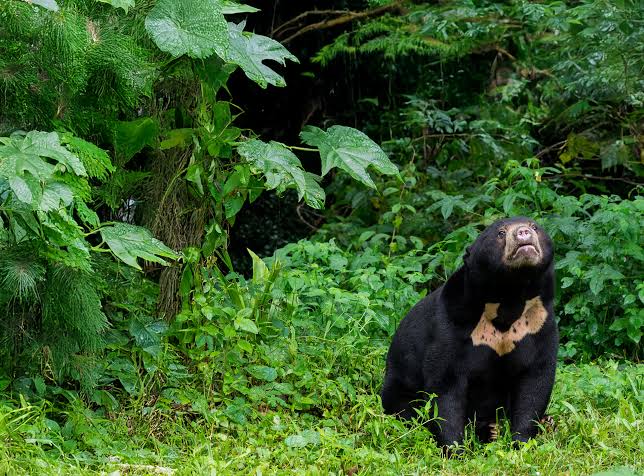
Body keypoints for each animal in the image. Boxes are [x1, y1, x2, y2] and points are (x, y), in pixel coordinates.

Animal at [381, 217, 558, 448]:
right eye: (500, 233)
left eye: (534, 226)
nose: (523, 233)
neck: (509, 297)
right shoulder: (451, 325)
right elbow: (445, 386)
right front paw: (455, 448)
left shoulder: (539, 323)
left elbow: (535, 378)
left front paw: (521, 442)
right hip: (399, 384)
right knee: (405, 409)